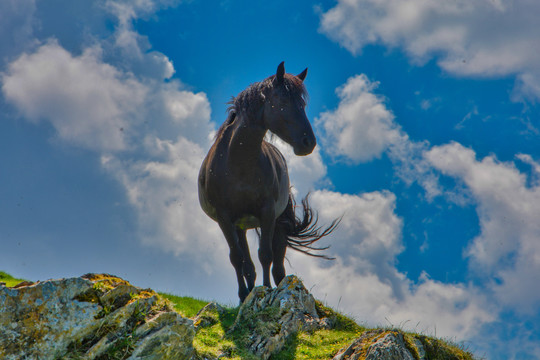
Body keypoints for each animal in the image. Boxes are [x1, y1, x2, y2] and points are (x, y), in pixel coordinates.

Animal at [198, 61, 338, 300]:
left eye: (302, 104)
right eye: (283, 102)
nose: (308, 142)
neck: (238, 163)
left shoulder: (268, 212)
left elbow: (265, 254)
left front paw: (265, 291)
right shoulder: (225, 218)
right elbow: (237, 258)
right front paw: (244, 296)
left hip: (277, 223)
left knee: (278, 266)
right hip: (240, 226)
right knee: (247, 263)